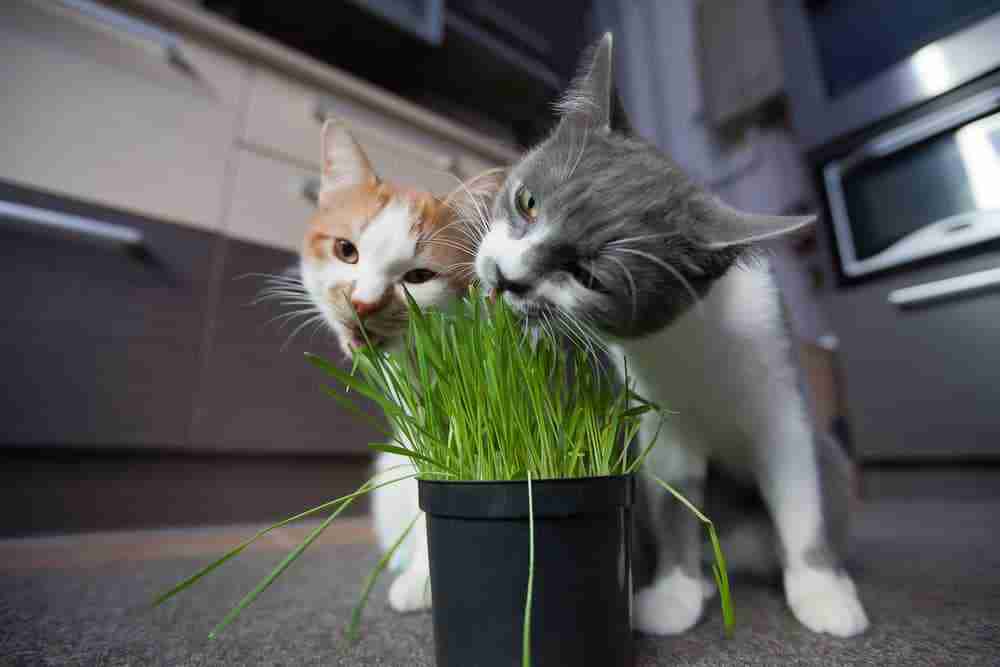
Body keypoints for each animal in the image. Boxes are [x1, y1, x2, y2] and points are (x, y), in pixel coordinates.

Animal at [296, 121, 500, 616]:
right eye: (346, 250)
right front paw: (422, 577)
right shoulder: (414, 439)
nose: (364, 303)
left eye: (418, 278)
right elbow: (423, 498)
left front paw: (425, 582)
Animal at [474, 34, 868, 640]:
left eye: (589, 277)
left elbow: (798, 493)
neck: (691, 344)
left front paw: (822, 593)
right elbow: (675, 500)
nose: (503, 277)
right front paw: (675, 595)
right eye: (527, 202)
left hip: (834, 461)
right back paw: (703, 581)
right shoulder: (659, 417)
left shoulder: (779, 391)